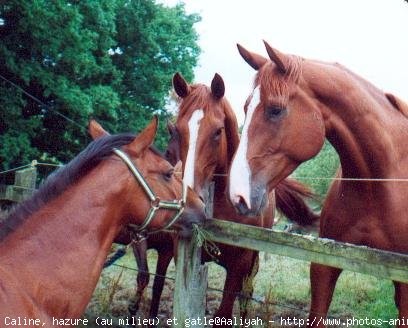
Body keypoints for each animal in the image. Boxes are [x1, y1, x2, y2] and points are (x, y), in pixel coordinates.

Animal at [231, 40, 408, 322]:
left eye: (275, 110)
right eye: (246, 108)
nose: (238, 194)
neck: (377, 182)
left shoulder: (404, 281)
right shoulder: (325, 263)